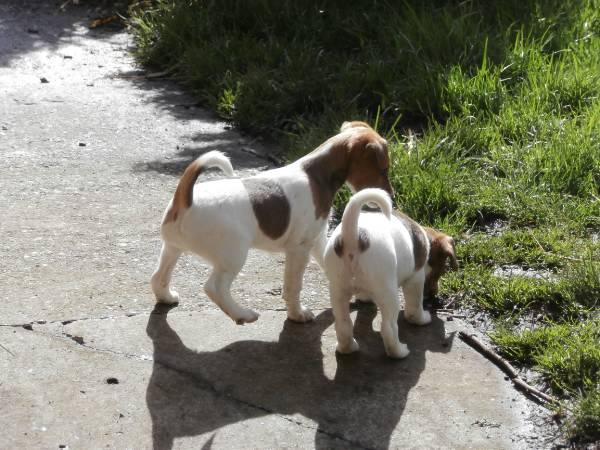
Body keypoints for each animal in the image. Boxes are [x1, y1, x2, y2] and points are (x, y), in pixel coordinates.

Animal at [150, 123, 394, 326]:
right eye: (383, 169)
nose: (391, 196)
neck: (317, 174)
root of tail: (185, 199)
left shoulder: (316, 239)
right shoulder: (299, 249)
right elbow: (293, 287)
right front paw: (297, 314)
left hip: (173, 249)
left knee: (159, 277)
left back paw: (166, 296)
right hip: (233, 257)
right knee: (215, 288)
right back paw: (243, 314)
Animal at [326, 188, 458, 356]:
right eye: (440, 271)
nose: (434, 294)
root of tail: (353, 236)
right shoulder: (415, 279)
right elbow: (414, 308)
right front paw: (422, 319)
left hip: (338, 291)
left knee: (343, 325)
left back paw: (348, 348)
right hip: (389, 295)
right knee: (388, 328)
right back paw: (399, 352)